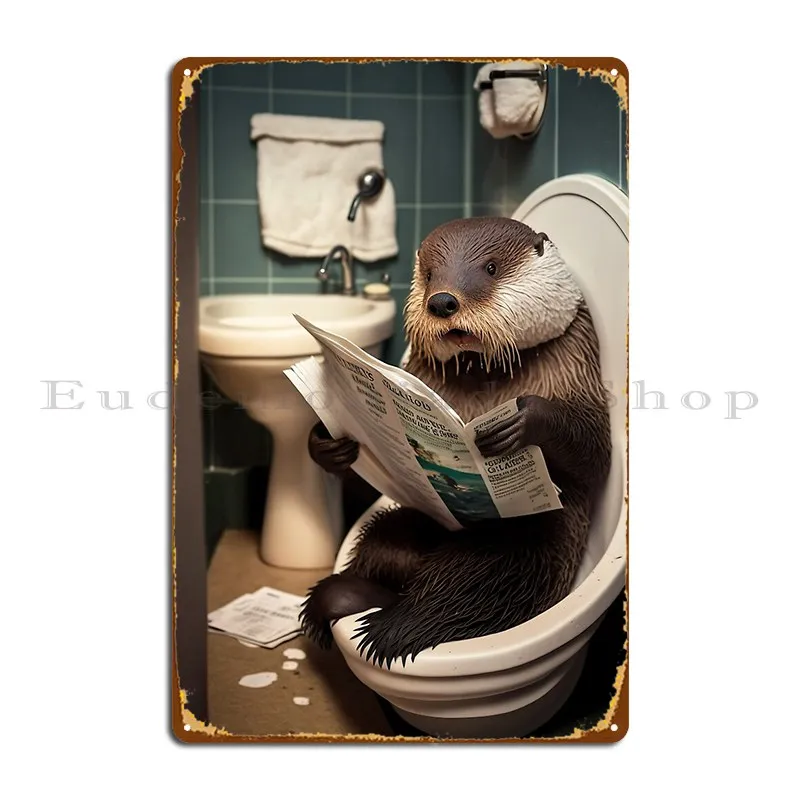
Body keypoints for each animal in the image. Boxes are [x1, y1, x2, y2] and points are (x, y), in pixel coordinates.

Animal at [301, 217, 611, 668]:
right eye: (431, 274)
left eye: (491, 267)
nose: (443, 301)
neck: (486, 378)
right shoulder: (416, 371)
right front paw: (326, 442)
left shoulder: (576, 356)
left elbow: (597, 453)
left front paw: (524, 419)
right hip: (410, 525)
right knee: (383, 544)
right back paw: (345, 597)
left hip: (518, 552)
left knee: (465, 591)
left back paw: (387, 627)